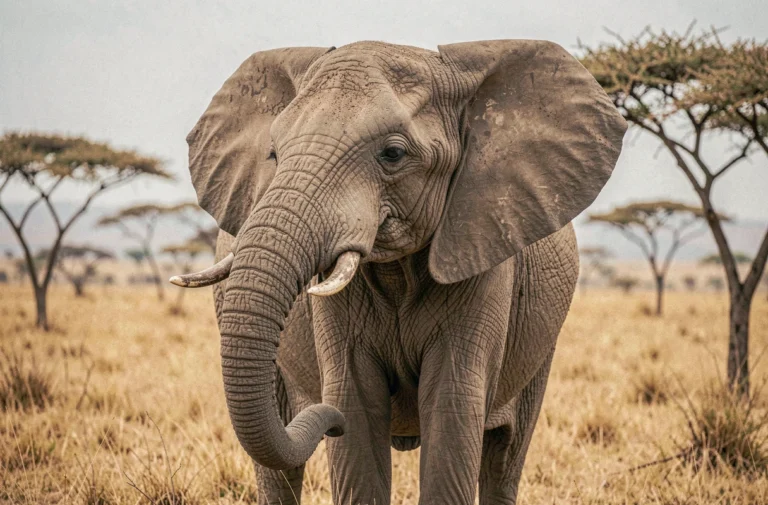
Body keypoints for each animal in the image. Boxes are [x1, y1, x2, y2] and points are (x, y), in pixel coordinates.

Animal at [171, 39, 626, 505]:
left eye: (393, 154)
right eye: (274, 154)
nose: (325, 419)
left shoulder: (482, 251)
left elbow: (452, 408)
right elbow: (354, 402)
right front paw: (345, 415)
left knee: (504, 459)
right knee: (280, 474)